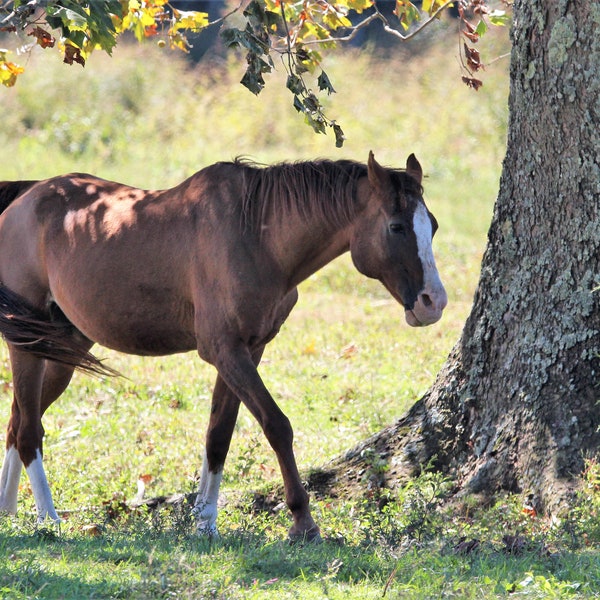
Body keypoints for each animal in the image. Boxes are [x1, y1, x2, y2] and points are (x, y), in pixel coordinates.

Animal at [0, 152, 446, 540]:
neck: (256, 236)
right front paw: (303, 522)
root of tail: (23, 199)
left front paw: (205, 524)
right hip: (28, 346)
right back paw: (49, 518)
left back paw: (8, 512)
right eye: (396, 226)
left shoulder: (247, 351)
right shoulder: (225, 352)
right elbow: (277, 426)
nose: (433, 303)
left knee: (17, 421)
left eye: (434, 225)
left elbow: (219, 435)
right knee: (29, 430)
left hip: (63, 350)